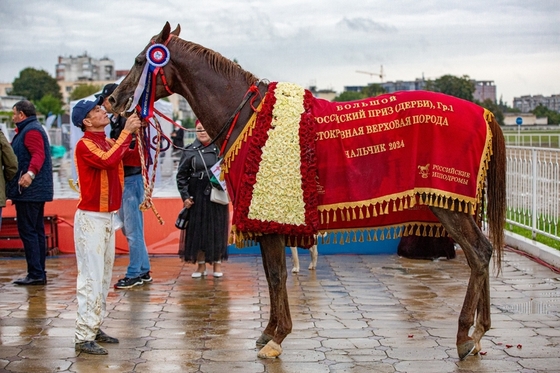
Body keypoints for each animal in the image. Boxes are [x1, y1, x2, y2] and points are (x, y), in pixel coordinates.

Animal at [110, 21, 508, 358]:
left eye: (140, 60)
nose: (114, 101)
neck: (247, 117)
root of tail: (485, 113)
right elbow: (274, 273)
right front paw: (269, 331)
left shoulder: (267, 215)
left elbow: (276, 274)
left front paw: (276, 336)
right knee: (485, 251)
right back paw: (480, 331)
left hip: (450, 205)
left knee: (477, 254)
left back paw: (465, 335)